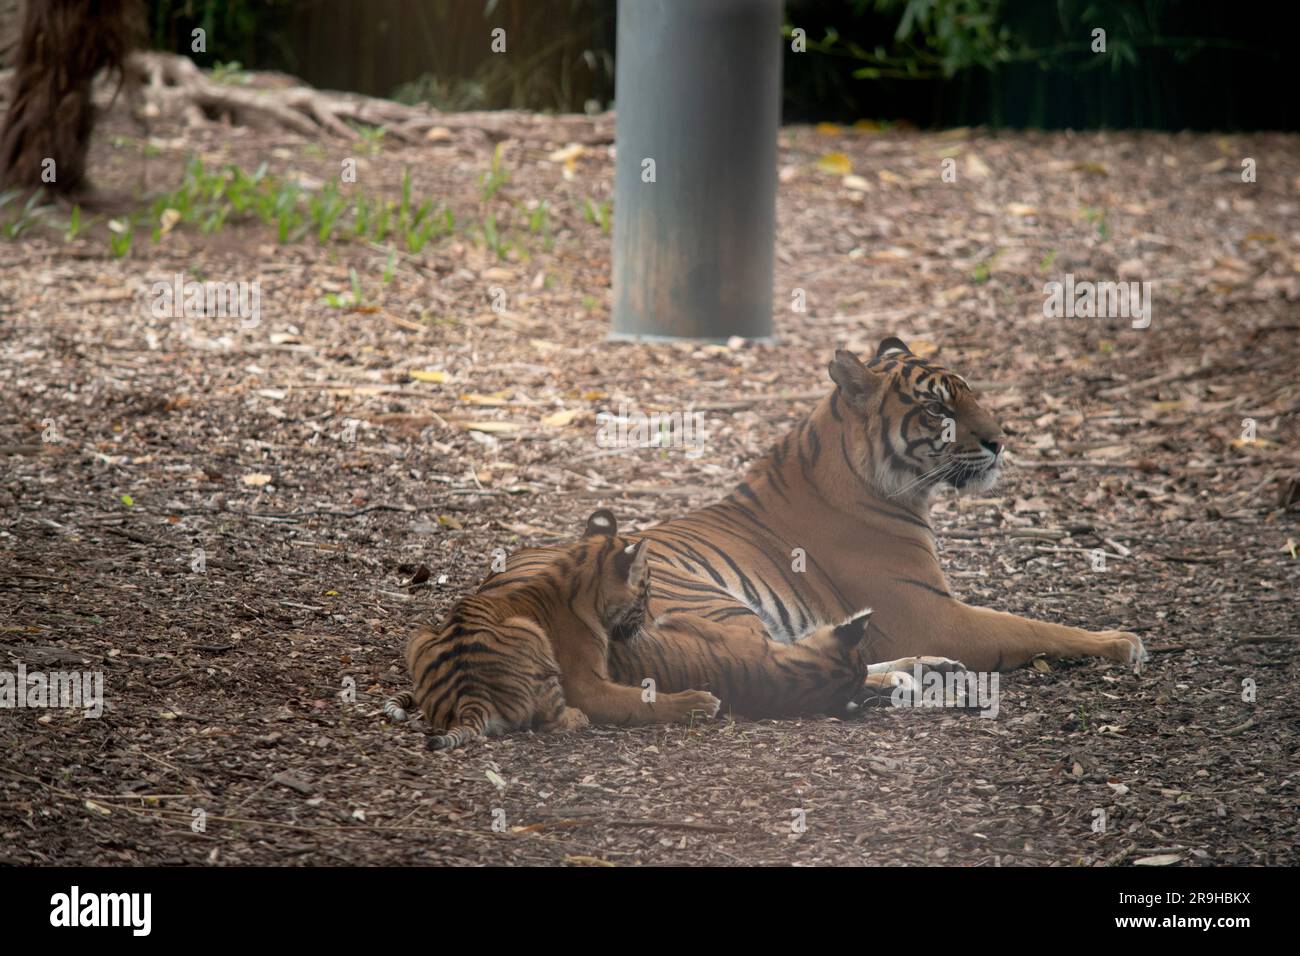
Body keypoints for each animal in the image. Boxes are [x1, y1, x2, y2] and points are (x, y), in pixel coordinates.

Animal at [603, 335, 1144, 681]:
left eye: (970, 394)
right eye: (937, 409)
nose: (1000, 441)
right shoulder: (932, 616)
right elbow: (1032, 626)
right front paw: (1120, 641)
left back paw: (924, 669)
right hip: (711, 600)